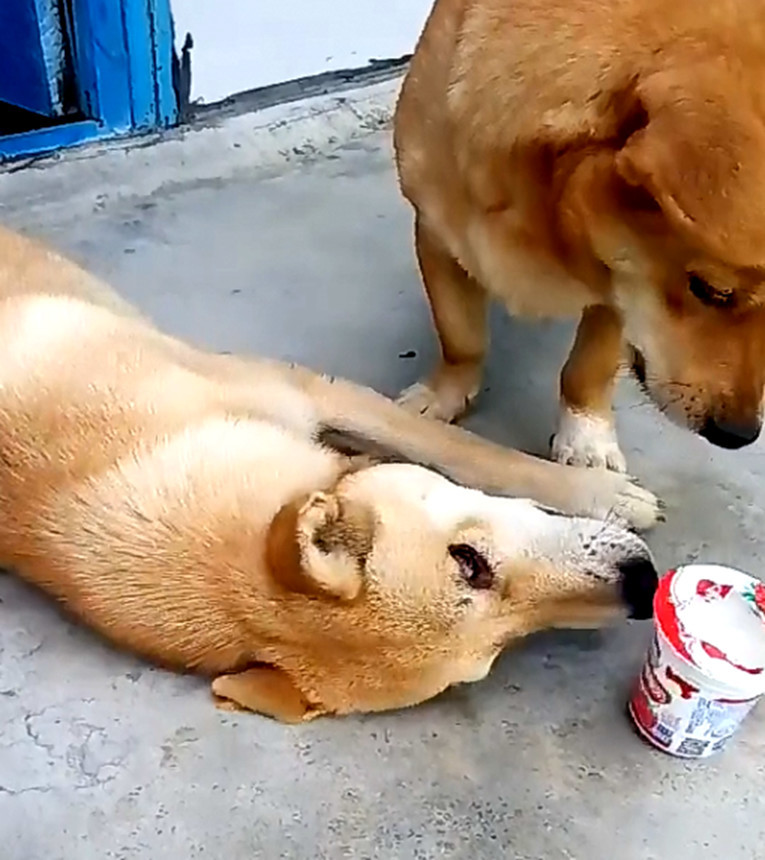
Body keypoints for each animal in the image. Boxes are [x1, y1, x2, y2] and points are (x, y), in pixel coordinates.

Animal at [0, 226, 658, 721]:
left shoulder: (317, 391)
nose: (643, 584)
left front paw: (598, 490)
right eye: (494, 650)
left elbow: (470, 450)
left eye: (467, 559)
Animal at [394, 0, 765, 473]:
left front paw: (586, 438)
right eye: (711, 290)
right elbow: (461, 337)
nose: (738, 436)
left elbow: (587, 367)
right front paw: (443, 394)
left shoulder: (618, 287)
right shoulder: (437, 235)